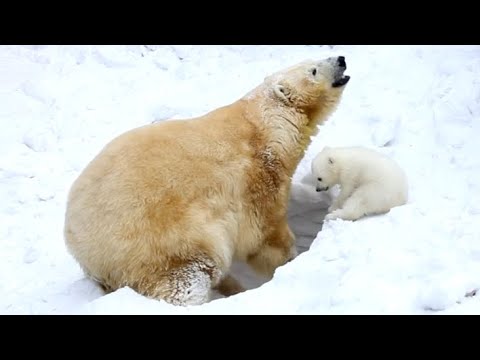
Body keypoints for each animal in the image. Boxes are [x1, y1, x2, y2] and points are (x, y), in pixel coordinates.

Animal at [63, 54, 350, 306]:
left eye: (316, 59)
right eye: (313, 70)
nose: (341, 59)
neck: (265, 124)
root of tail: (79, 247)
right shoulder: (257, 174)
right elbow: (265, 234)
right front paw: (290, 259)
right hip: (159, 242)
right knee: (187, 279)